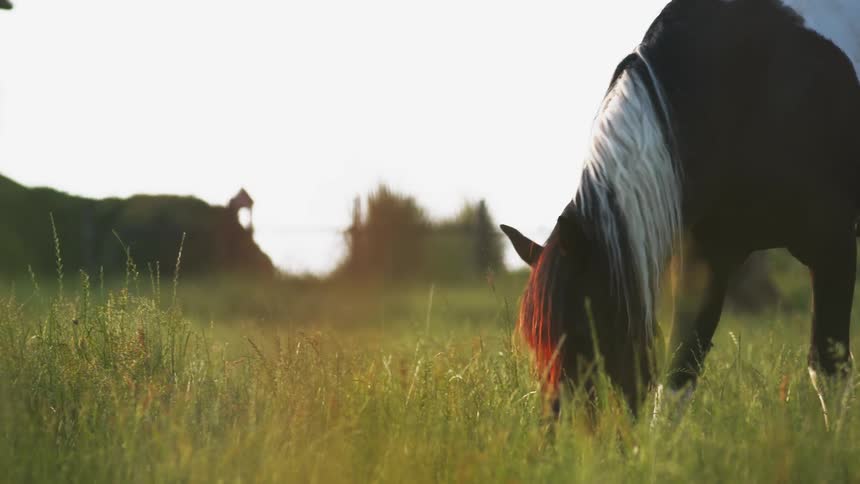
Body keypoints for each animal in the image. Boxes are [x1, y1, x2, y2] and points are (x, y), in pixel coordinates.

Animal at [501, 0, 860, 421]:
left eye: (585, 333)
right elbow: (677, 377)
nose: (564, 432)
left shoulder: (833, 247)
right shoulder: (706, 261)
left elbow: (829, 370)